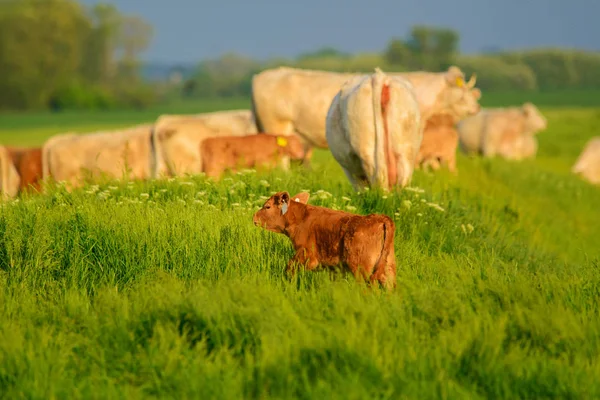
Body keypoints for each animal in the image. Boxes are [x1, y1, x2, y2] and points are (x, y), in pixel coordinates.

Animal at [254, 191, 398, 290]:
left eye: (267, 207)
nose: (254, 217)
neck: (301, 218)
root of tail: (380, 218)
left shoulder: (306, 255)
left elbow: (289, 268)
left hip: (361, 269)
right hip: (388, 269)